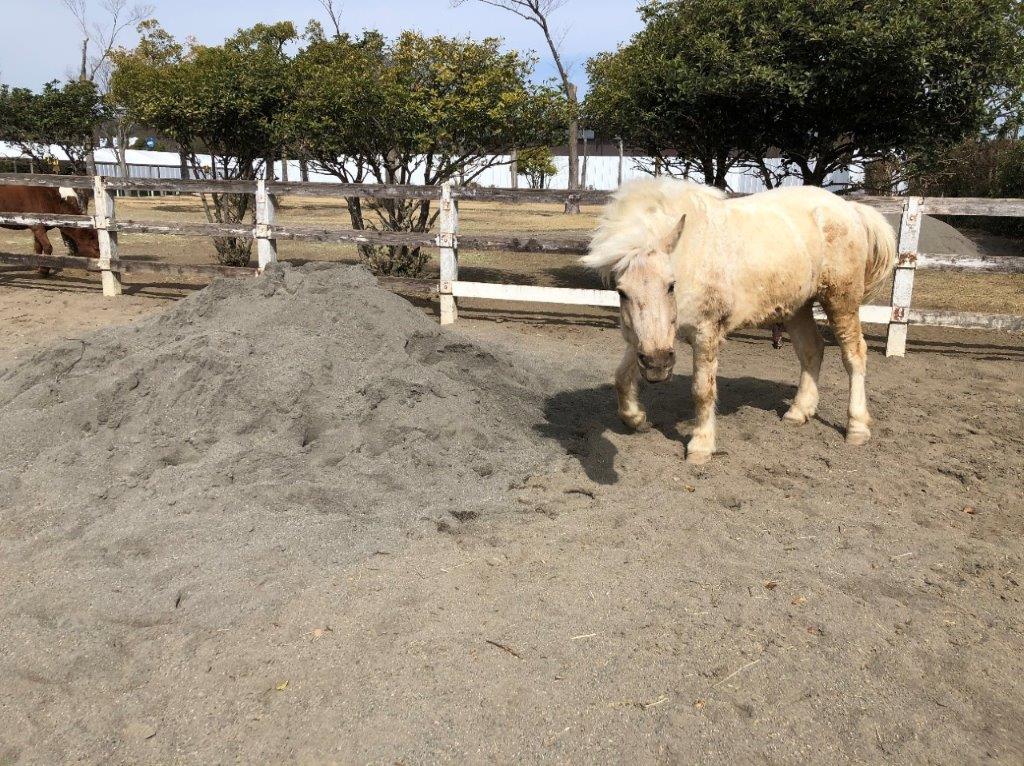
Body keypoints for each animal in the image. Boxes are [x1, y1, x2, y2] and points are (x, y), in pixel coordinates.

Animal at [585, 179, 897, 462]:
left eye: (670, 285)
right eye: (621, 291)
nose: (658, 365)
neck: (690, 255)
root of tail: (850, 209)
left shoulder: (706, 333)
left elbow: (703, 390)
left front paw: (701, 445)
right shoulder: (644, 339)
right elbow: (621, 377)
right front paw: (636, 419)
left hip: (841, 301)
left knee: (854, 355)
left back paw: (856, 427)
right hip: (798, 306)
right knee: (812, 350)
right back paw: (798, 412)